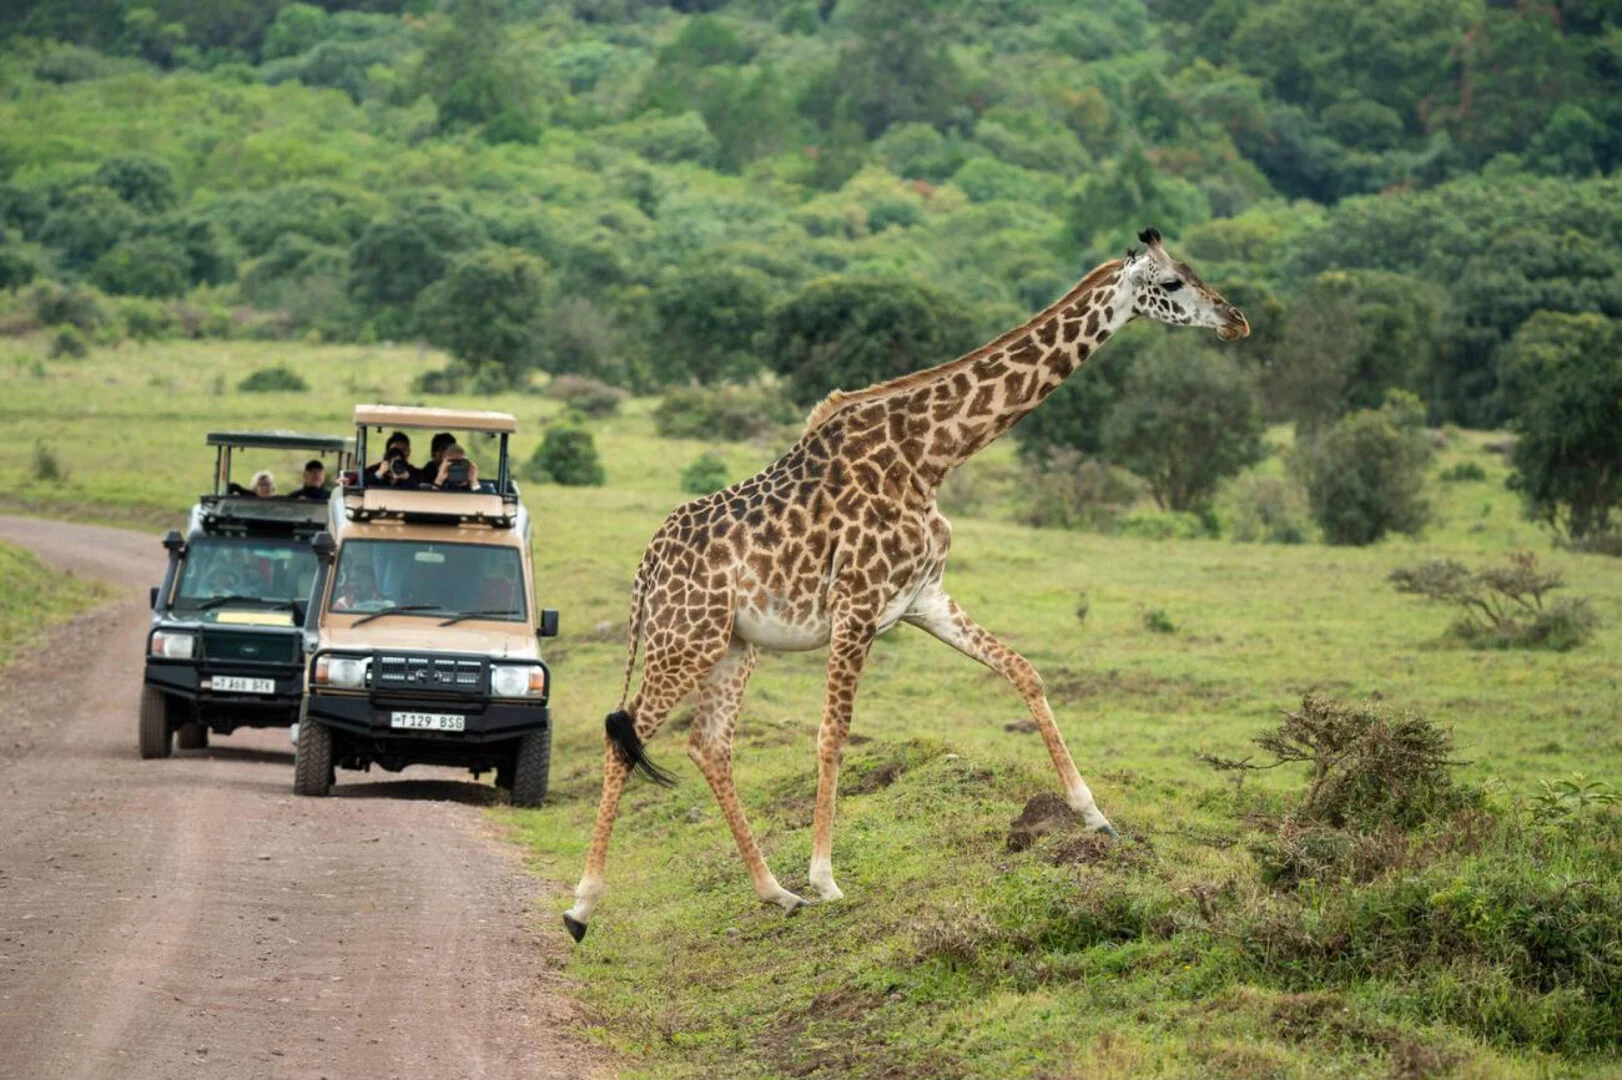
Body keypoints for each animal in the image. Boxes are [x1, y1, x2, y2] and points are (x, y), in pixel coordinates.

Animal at [562, 227, 1249, 941]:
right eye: (1171, 284)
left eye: (1193, 271)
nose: (1236, 321)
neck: (931, 454)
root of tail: (645, 569)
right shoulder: (857, 606)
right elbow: (833, 734)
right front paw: (827, 878)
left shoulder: (924, 599)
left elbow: (1023, 671)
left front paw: (1095, 817)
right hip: (685, 640)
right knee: (627, 735)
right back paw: (583, 906)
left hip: (731, 645)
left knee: (708, 745)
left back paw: (775, 892)